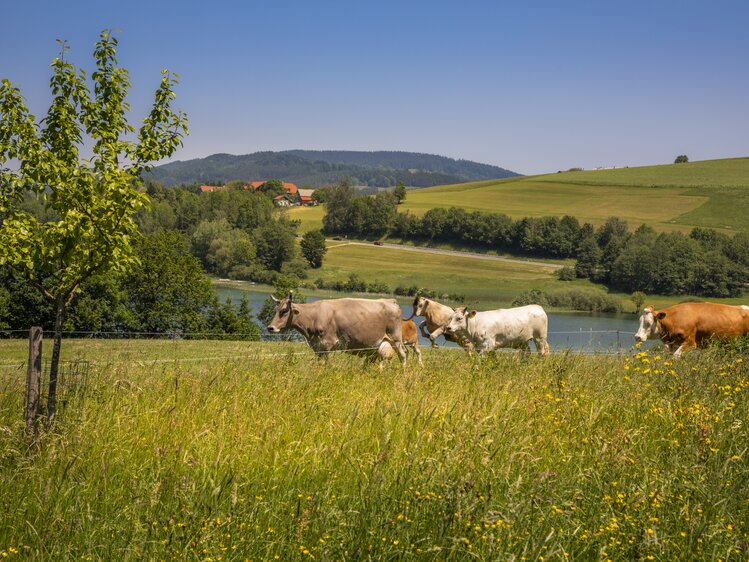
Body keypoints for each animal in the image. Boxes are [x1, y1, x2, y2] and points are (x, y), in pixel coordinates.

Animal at [268, 290, 406, 366]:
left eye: (284, 311)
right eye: (275, 310)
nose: (270, 327)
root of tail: (391, 300)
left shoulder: (327, 344)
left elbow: (325, 364)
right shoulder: (317, 347)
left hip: (396, 339)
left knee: (403, 355)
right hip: (376, 346)